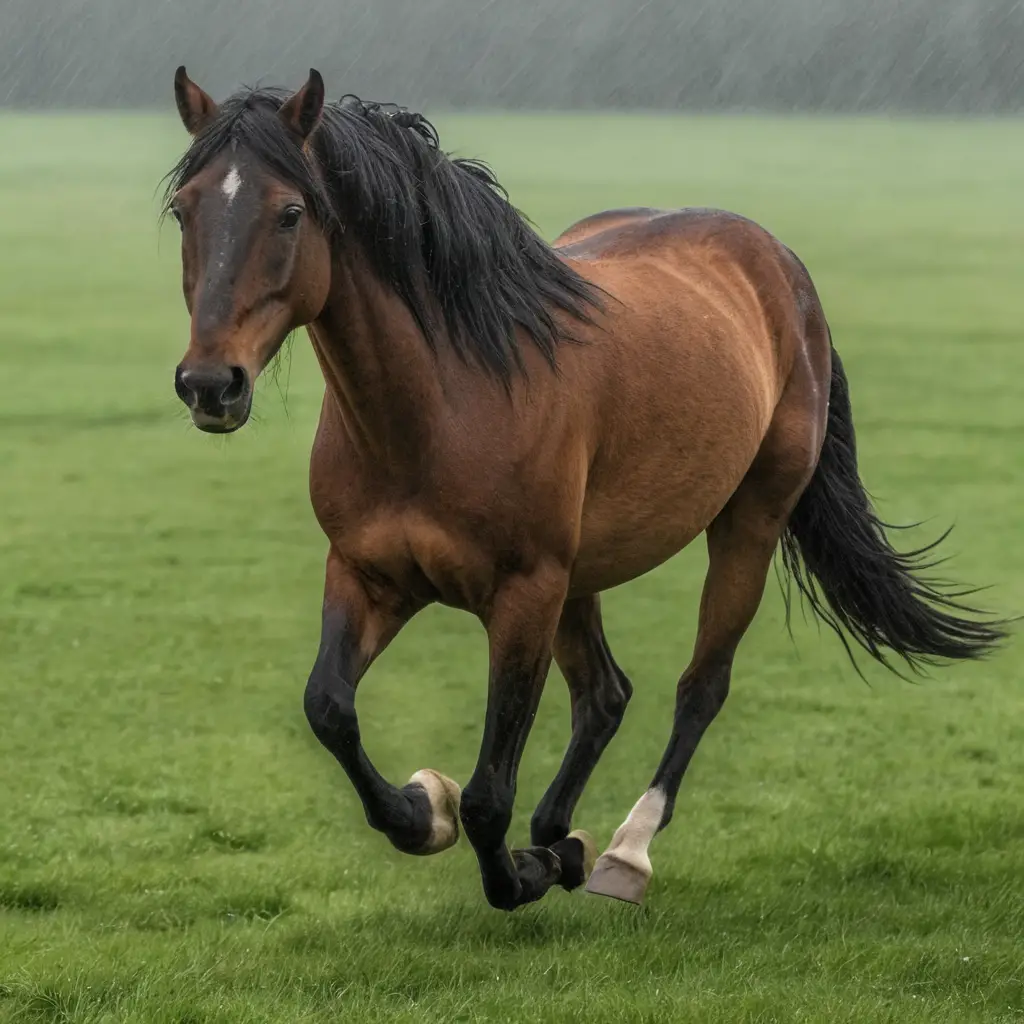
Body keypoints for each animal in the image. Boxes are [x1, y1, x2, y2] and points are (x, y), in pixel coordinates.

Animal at [165, 68, 1006, 911]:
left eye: (290, 212)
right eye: (184, 208)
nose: (210, 384)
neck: (446, 401)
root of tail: (781, 265)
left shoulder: (525, 593)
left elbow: (488, 795)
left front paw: (525, 863)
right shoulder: (368, 576)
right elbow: (329, 710)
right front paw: (425, 813)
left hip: (746, 525)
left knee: (699, 687)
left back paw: (621, 853)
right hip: (583, 577)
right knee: (605, 694)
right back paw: (560, 836)